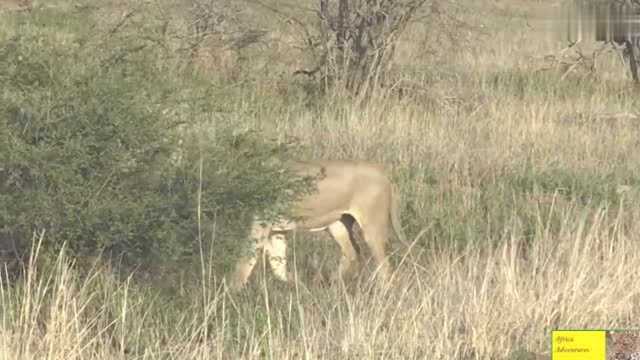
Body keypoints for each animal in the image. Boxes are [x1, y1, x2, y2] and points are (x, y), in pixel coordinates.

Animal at [232, 160, 408, 290]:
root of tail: (386, 177)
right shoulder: (276, 230)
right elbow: (278, 268)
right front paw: (300, 287)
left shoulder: (259, 224)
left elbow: (244, 264)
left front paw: (232, 296)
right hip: (338, 224)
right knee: (352, 253)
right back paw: (333, 285)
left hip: (372, 227)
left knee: (385, 268)